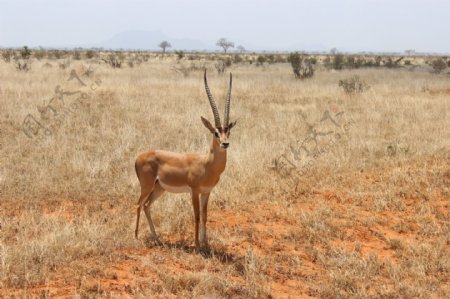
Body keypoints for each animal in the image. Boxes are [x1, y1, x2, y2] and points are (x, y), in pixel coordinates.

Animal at [135, 70, 237, 251]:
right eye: (216, 132)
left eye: (228, 132)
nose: (225, 143)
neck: (206, 165)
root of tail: (138, 157)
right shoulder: (194, 191)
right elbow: (196, 216)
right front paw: (196, 245)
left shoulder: (206, 192)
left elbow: (204, 216)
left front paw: (206, 243)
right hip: (146, 187)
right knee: (138, 205)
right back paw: (136, 237)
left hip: (159, 188)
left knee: (146, 206)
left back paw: (157, 239)